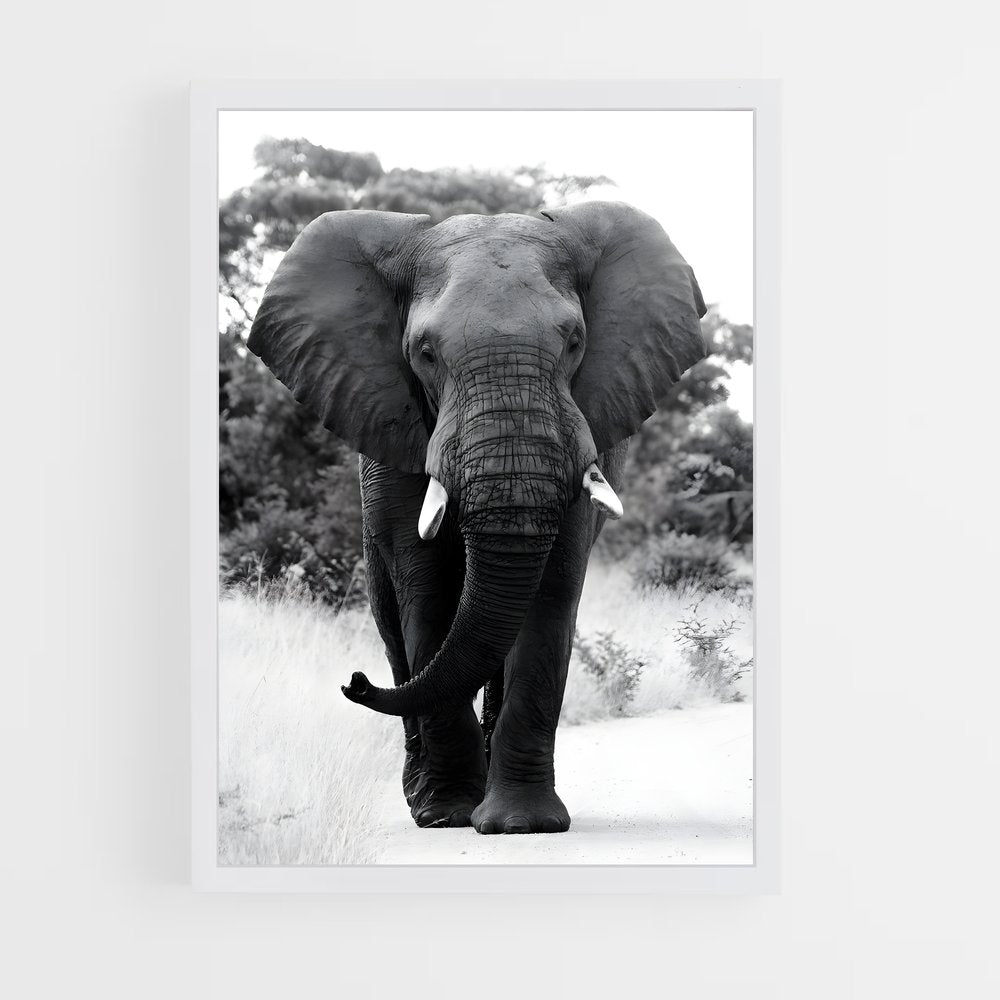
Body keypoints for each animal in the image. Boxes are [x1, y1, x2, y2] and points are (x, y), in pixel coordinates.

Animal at [246, 201, 706, 834]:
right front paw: (447, 814)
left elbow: (550, 594)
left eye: (575, 341)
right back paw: (426, 798)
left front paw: (523, 824)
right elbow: (427, 588)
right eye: (424, 352)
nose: (352, 680)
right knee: (397, 628)